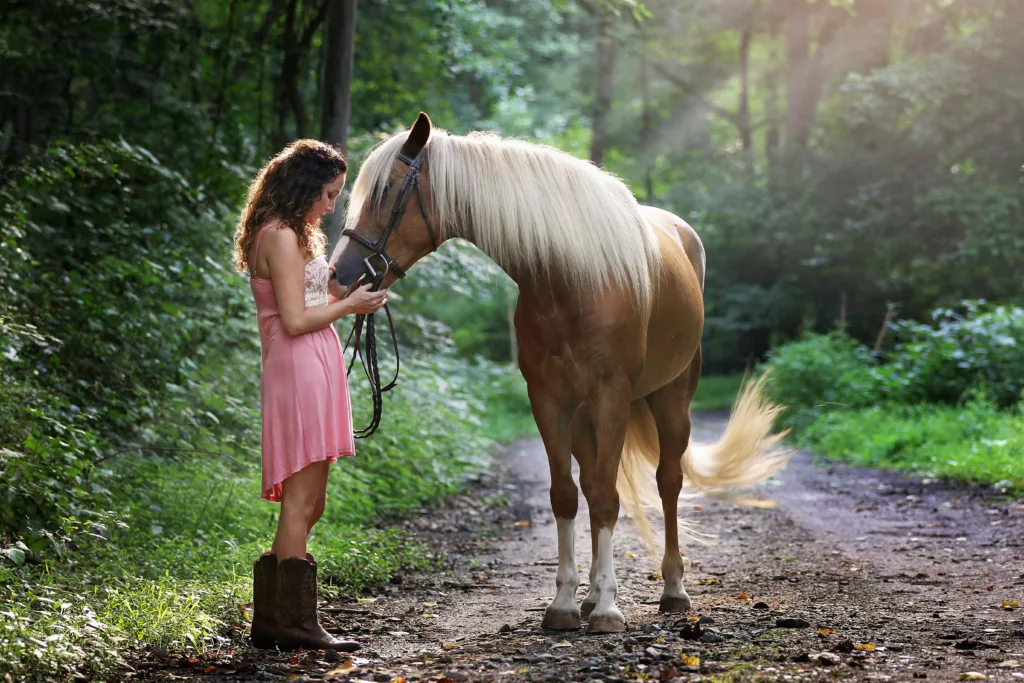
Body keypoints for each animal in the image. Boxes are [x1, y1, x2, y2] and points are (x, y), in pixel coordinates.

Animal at [331, 113, 786, 634]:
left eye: (386, 191)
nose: (339, 275)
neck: (571, 280)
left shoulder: (611, 397)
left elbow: (608, 498)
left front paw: (609, 610)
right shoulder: (549, 401)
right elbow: (567, 496)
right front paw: (567, 603)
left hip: (672, 399)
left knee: (667, 481)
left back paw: (672, 590)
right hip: (587, 415)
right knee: (590, 483)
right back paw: (589, 596)